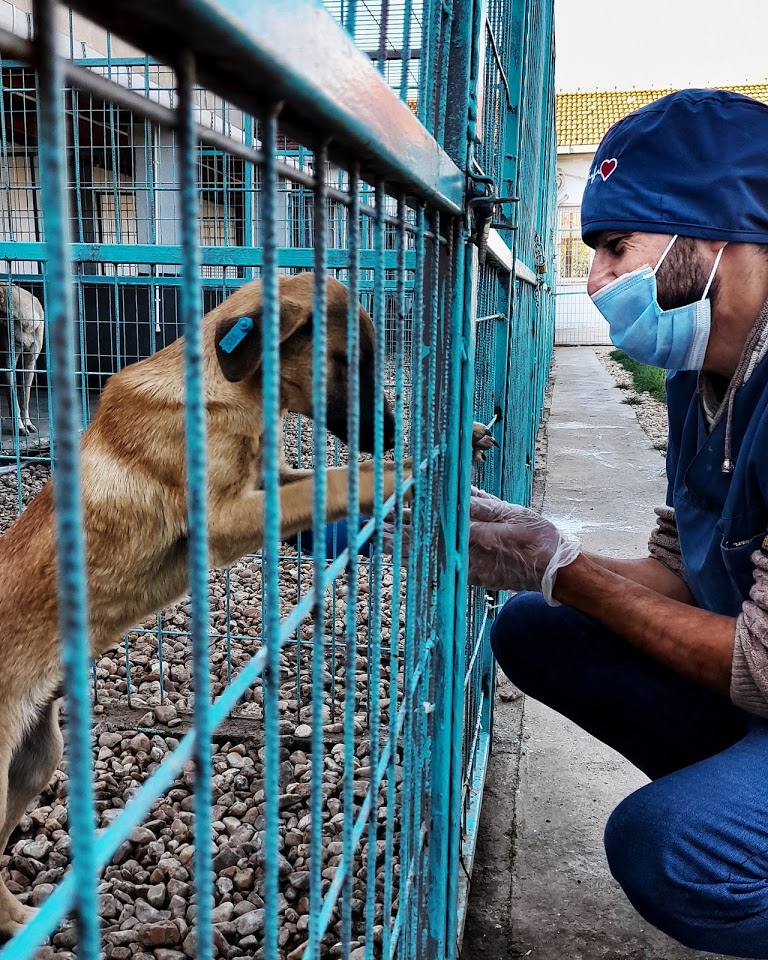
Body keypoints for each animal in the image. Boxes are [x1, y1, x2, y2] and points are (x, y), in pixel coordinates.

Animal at [0, 284, 45, 436]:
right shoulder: (9, 364)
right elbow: (13, 399)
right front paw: (19, 426)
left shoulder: (30, 362)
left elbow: (25, 397)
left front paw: (27, 424)